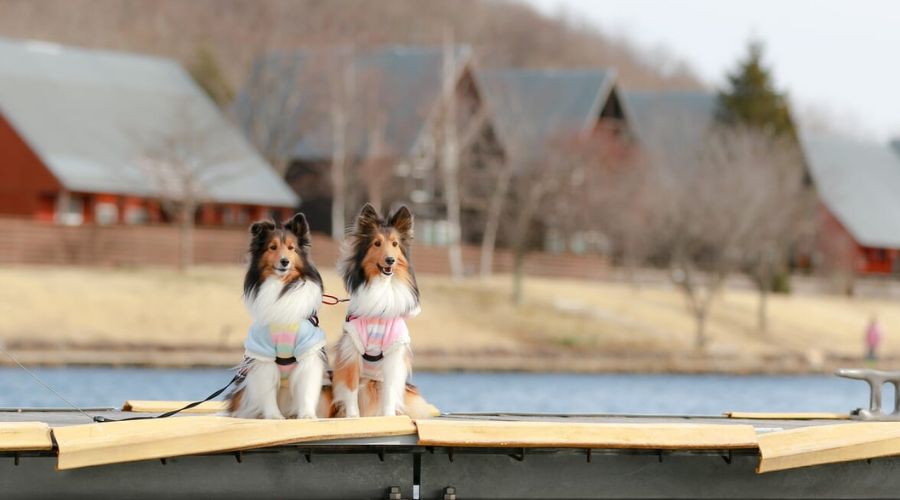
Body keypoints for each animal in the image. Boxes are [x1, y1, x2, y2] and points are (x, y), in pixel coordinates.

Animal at [229, 213, 326, 420]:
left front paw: (307, 415)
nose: (284, 262)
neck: (281, 287)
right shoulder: (263, 353)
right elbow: (267, 391)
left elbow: (306, 389)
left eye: (291, 248)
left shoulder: (308, 351)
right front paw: (273, 416)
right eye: (272, 247)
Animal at [326, 203, 436, 418]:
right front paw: (352, 416)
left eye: (394, 244)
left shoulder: (394, 351)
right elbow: (350, 387)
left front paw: (389, 416)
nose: (390, 260)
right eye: (377, 243)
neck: (382, 286)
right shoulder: (351, 348)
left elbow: (390, 389)